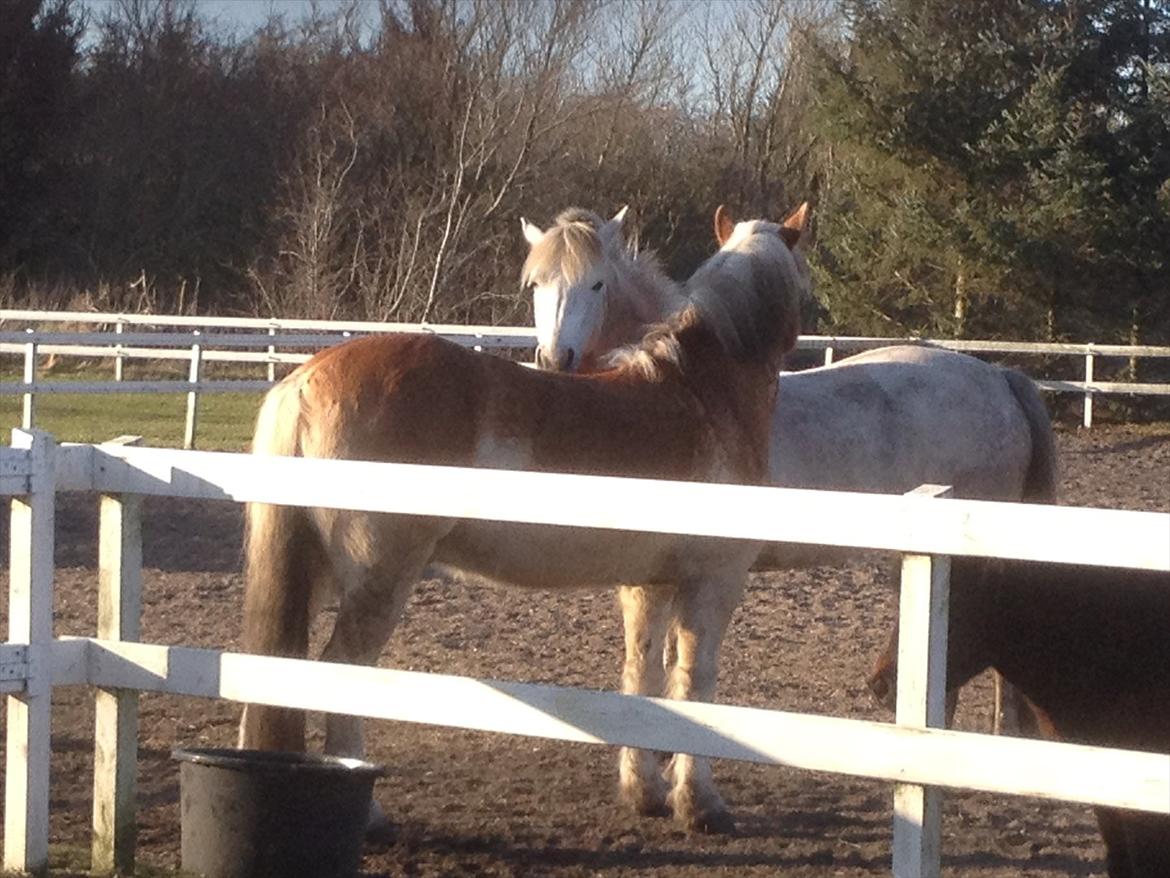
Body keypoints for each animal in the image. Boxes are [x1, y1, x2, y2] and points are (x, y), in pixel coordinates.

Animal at [241, 204, 814, 833]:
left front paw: (646, 792)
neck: (703, 390)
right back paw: (367, 812)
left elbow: (644, 679)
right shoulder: (713, 582)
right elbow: (695, 683)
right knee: (340, 674)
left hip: (312, 571)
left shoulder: (650, 585)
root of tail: (305, 381)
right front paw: (700, 803)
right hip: (378, 579)